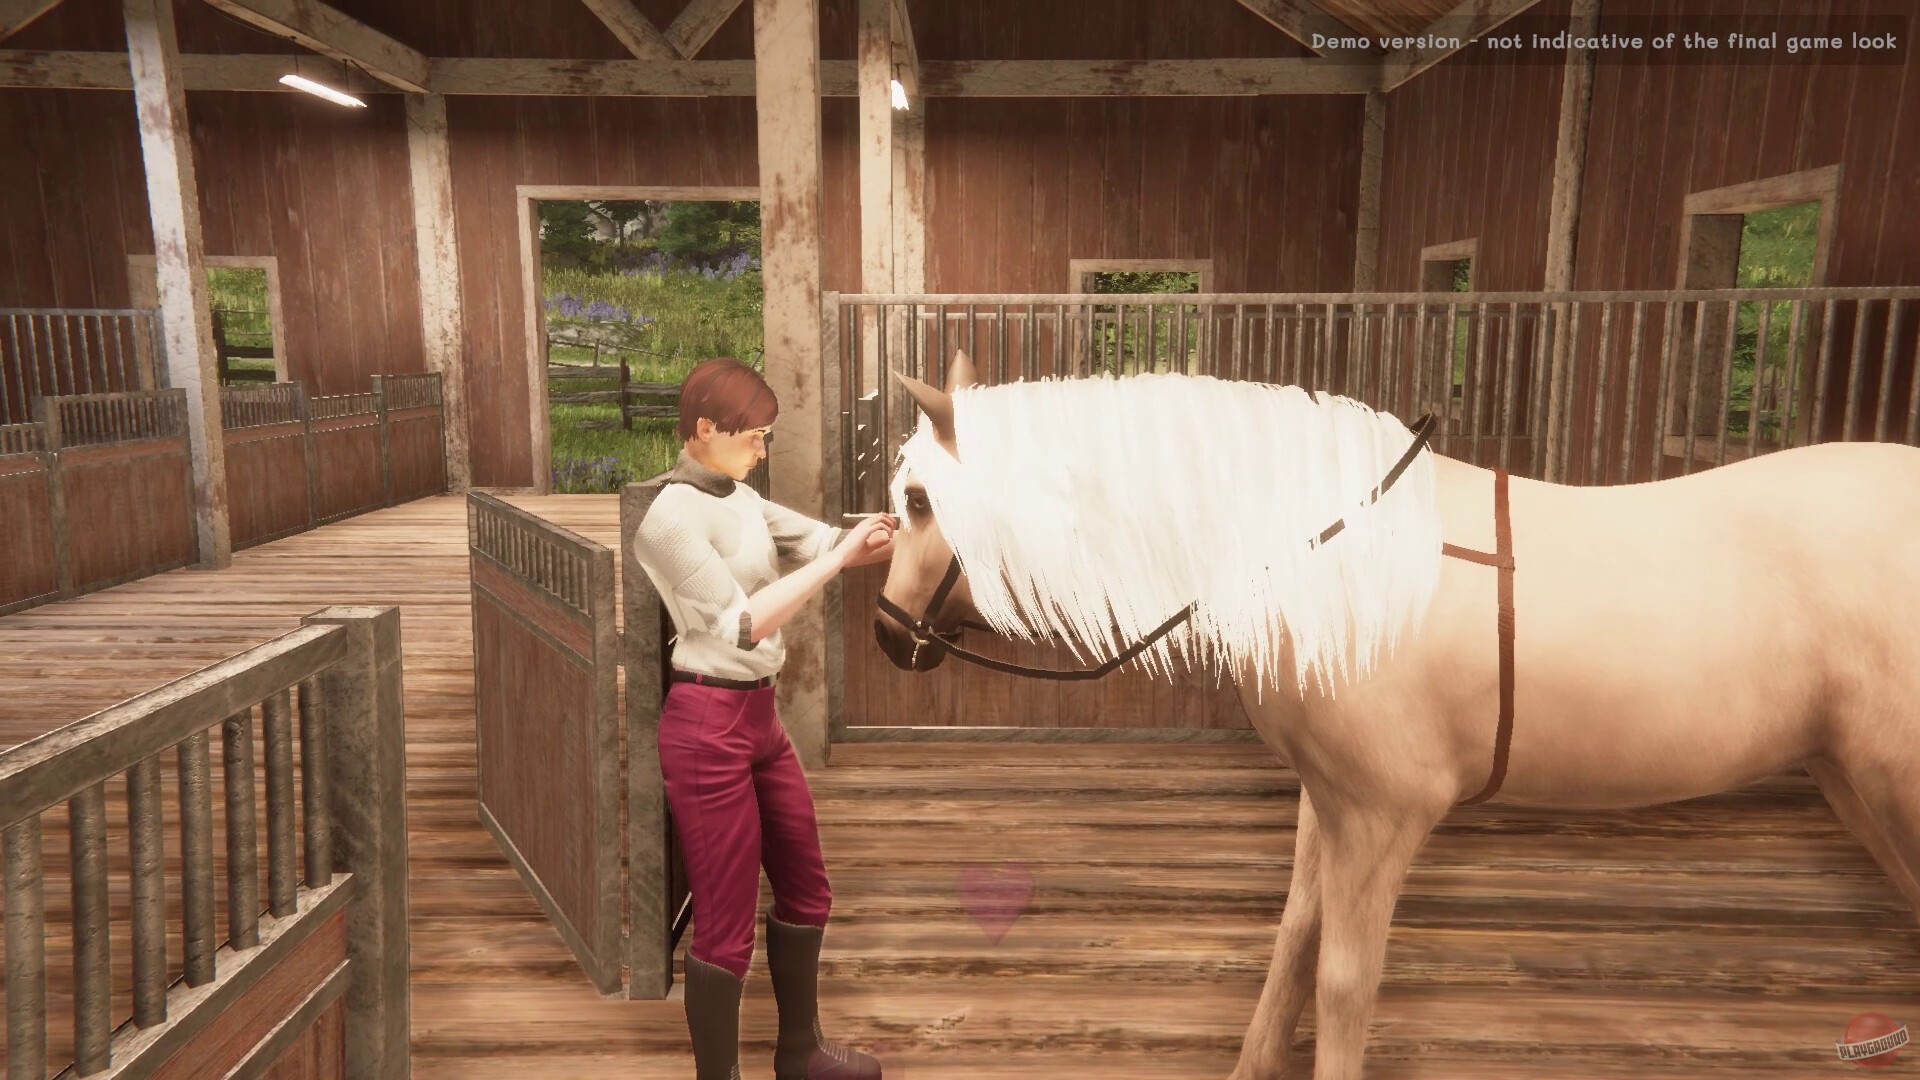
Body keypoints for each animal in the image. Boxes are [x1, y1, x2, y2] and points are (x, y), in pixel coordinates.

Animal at [869, 351, 1920, 1080]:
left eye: (919, 499)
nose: (886, 634)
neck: (1323, 545)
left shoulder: (1383, 813)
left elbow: (1343, 980)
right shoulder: (1328, 802)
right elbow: (1295, 941)